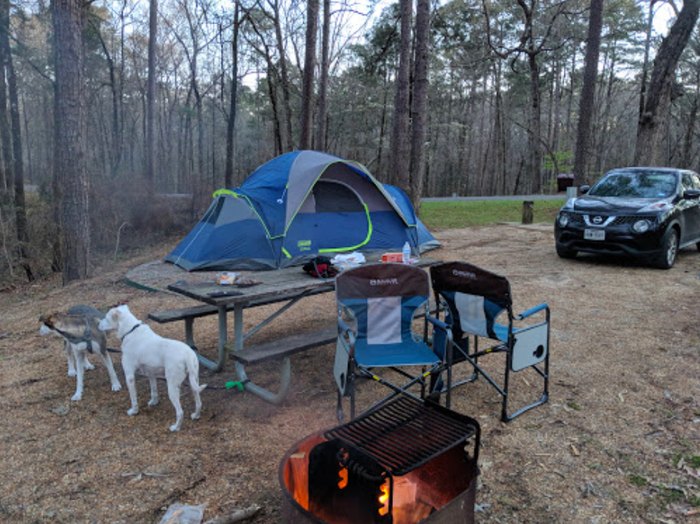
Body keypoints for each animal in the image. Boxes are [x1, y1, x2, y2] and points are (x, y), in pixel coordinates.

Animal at [100, 302, 206, 430]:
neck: (130, 330)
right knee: (199, 402)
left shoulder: (129, 376)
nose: (98, 324)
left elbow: (133, 398)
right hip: (194, 381)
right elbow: (154, 390)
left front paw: (133, 411)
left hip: (172, 387)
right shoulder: (151, 374)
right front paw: (154, 402)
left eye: (106, 318)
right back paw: (196, 415)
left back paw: (175, 427)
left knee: (180, 412)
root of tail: (187, 355)